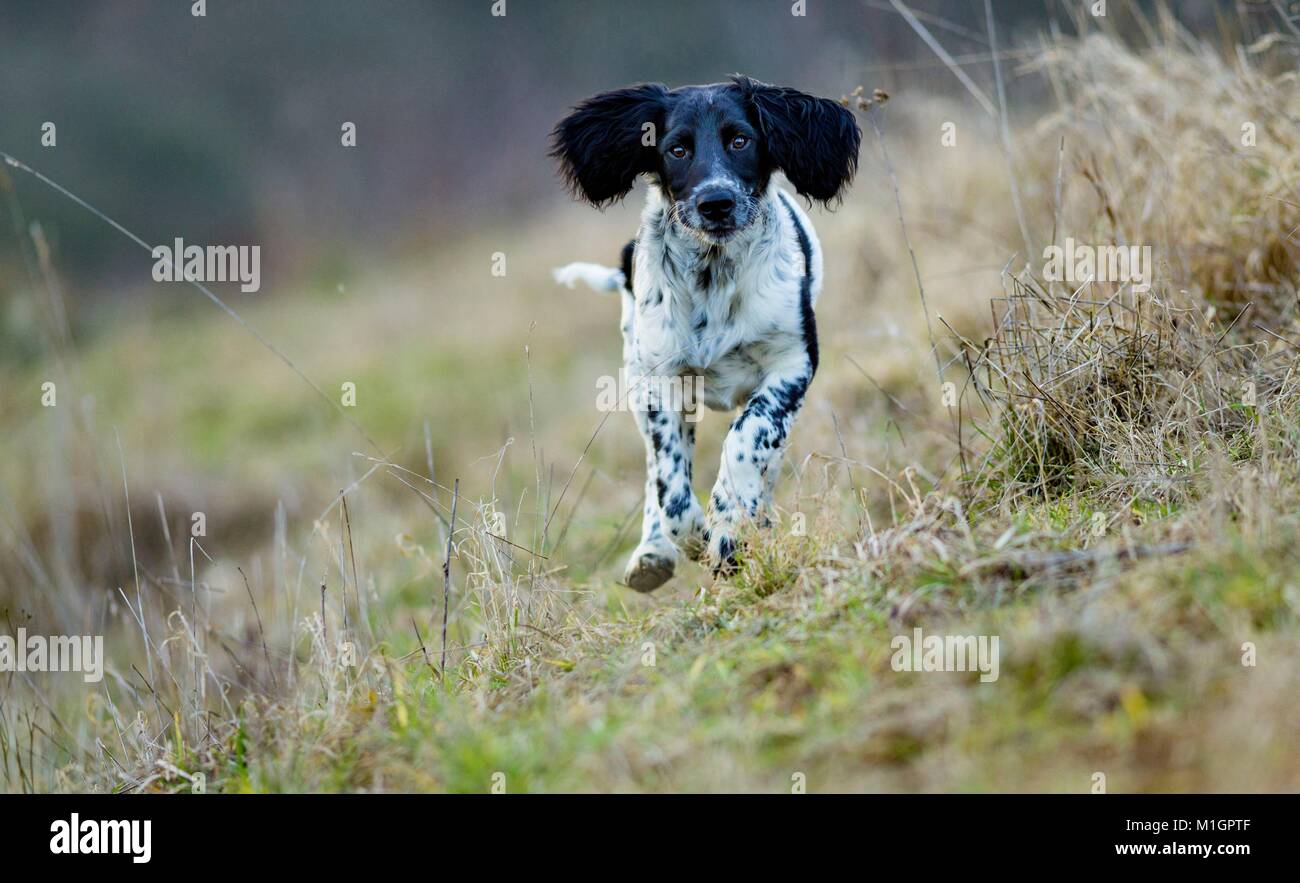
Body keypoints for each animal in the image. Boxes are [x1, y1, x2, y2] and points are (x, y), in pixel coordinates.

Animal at [551, 74, 863, 587]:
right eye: (677, 150)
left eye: (741, 140)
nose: (716, 203)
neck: (713, 274)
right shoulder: (658, 381)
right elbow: (670, 487)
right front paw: (694, 535)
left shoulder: (793, 363)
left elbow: (746, 440)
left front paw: (729, 525)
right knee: (653, 471)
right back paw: (654, 551)